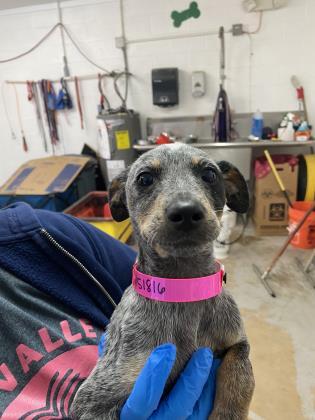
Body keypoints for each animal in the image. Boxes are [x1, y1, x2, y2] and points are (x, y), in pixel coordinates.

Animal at [71, 143, 254, 418]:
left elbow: (239, 379)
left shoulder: (238, 342)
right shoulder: (92, 399)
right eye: (145, 178)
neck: (184, 289)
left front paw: (226, 413)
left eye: (210, 174)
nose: (186, 210)